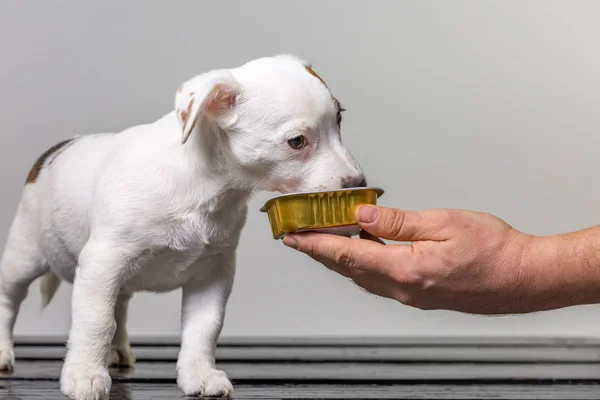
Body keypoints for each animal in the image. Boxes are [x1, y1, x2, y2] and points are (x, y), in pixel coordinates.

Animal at [0, 54, 366, 400]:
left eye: (340, 119)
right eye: (296, 142)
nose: (358, 183)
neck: (206, 183)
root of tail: (50, 154)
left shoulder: (212, 274)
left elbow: (203, 328)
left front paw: (199, 374)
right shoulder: (102, 263)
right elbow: (95, 321)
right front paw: (85, 375)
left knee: (119, 306)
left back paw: (117, 351)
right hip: (25, 255)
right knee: (9, 299)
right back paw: (4, 351)